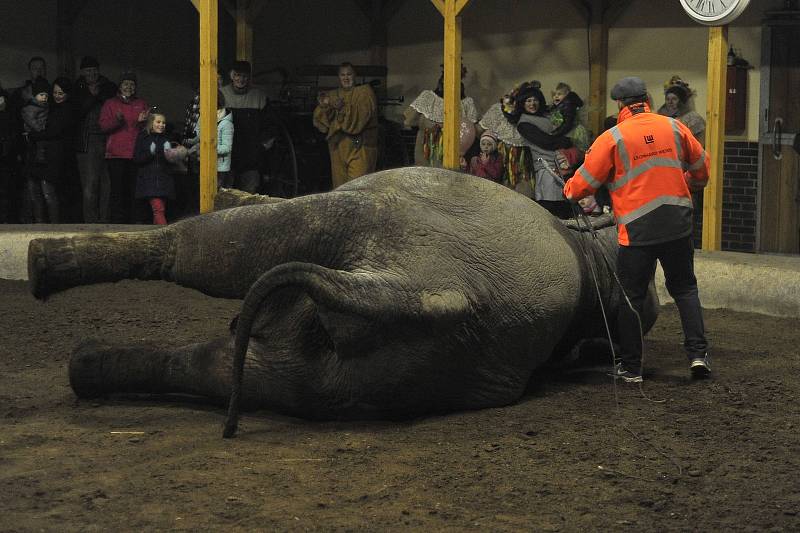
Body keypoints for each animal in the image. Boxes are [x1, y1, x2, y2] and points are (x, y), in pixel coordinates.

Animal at [28, 167, 660, 436]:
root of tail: (431, 289)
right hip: (353, 378)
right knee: (218, 365)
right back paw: (86, 365)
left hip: (359, 222)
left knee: (212, 247)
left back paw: (42, 266)